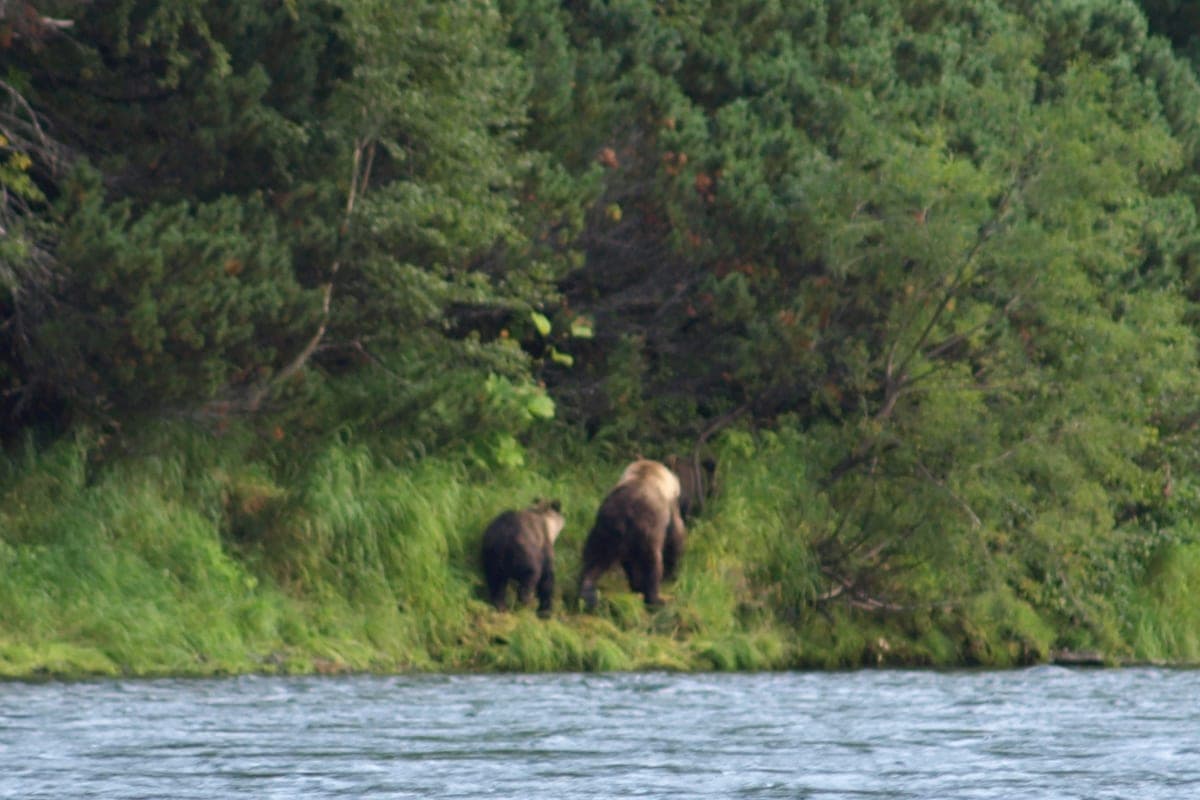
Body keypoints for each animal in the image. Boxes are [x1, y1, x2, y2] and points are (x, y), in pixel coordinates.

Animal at [578, 459, 686, 610]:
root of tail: (625, 514)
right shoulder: (668, 510)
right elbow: (675, 538)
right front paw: (671, 574)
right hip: (645, 532)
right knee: (652, 563)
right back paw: (655, 598)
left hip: (605, 530)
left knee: (595, 559)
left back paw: (588, 592)